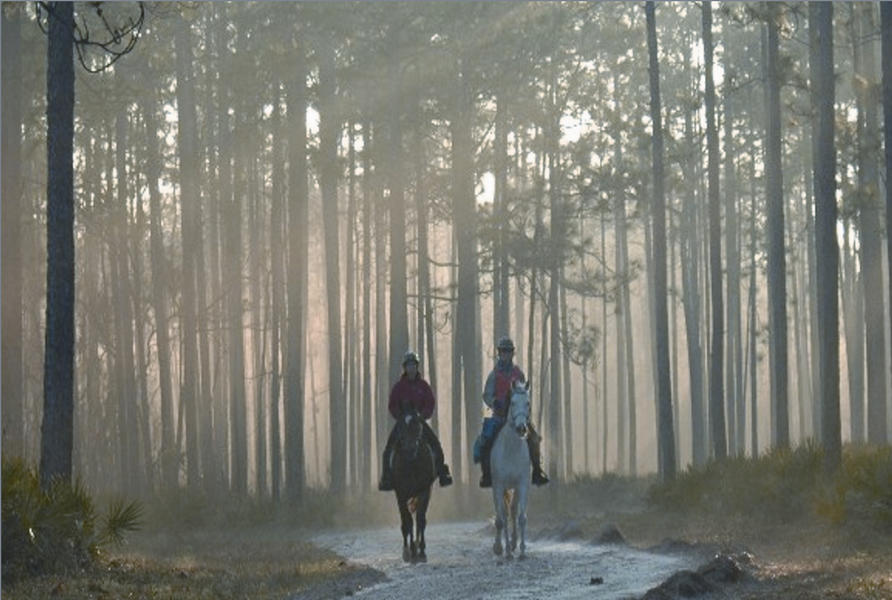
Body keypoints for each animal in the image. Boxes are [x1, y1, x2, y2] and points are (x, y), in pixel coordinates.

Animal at [390, 410, 436, 560]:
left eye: (417, 425)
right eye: (401, 426)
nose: (410, 450)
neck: (412, 464)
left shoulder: (425, 491)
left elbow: (420, 519)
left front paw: (420, 551)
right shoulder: (401, 493)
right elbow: (407, 521)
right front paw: (408, 551)